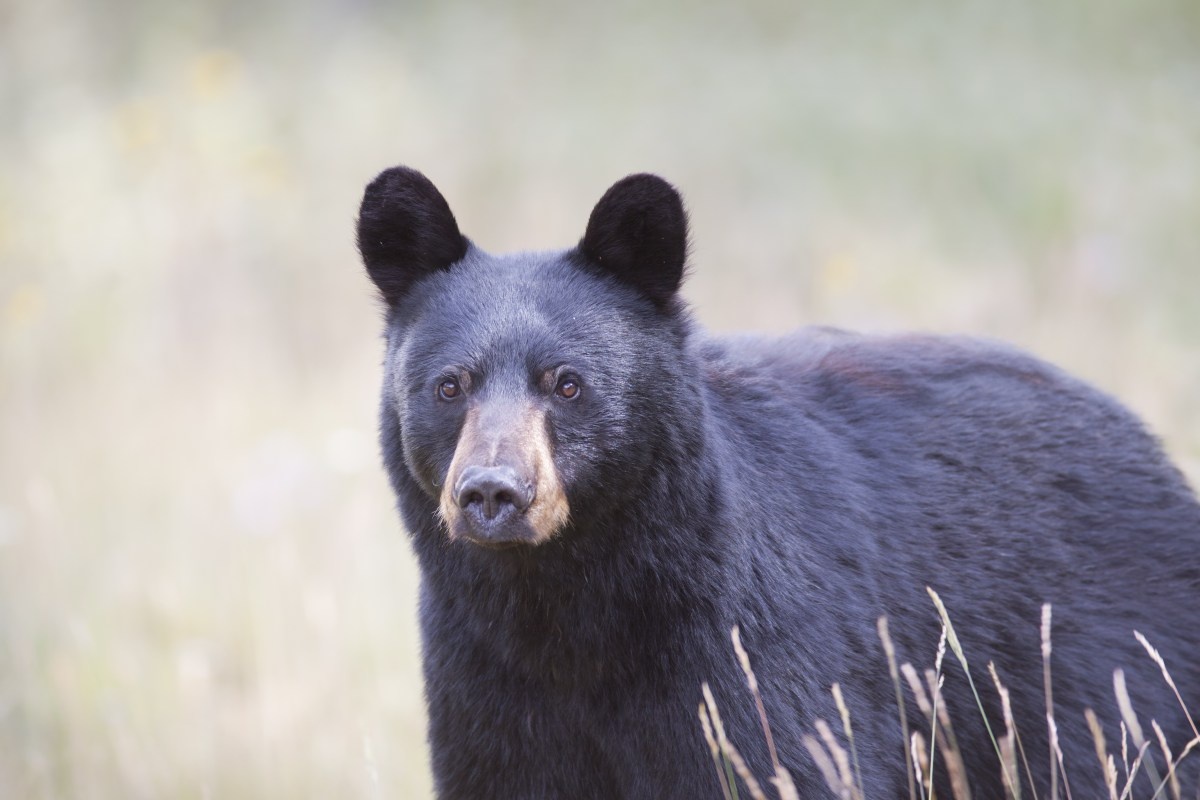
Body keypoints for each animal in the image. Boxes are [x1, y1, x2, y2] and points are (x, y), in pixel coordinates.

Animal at [355, 166, 1200, 799]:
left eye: (566, 383)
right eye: (449, 386)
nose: (493, 494)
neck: (566, 608)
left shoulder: (752, 664)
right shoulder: (484, 691)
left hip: (1103, 682)